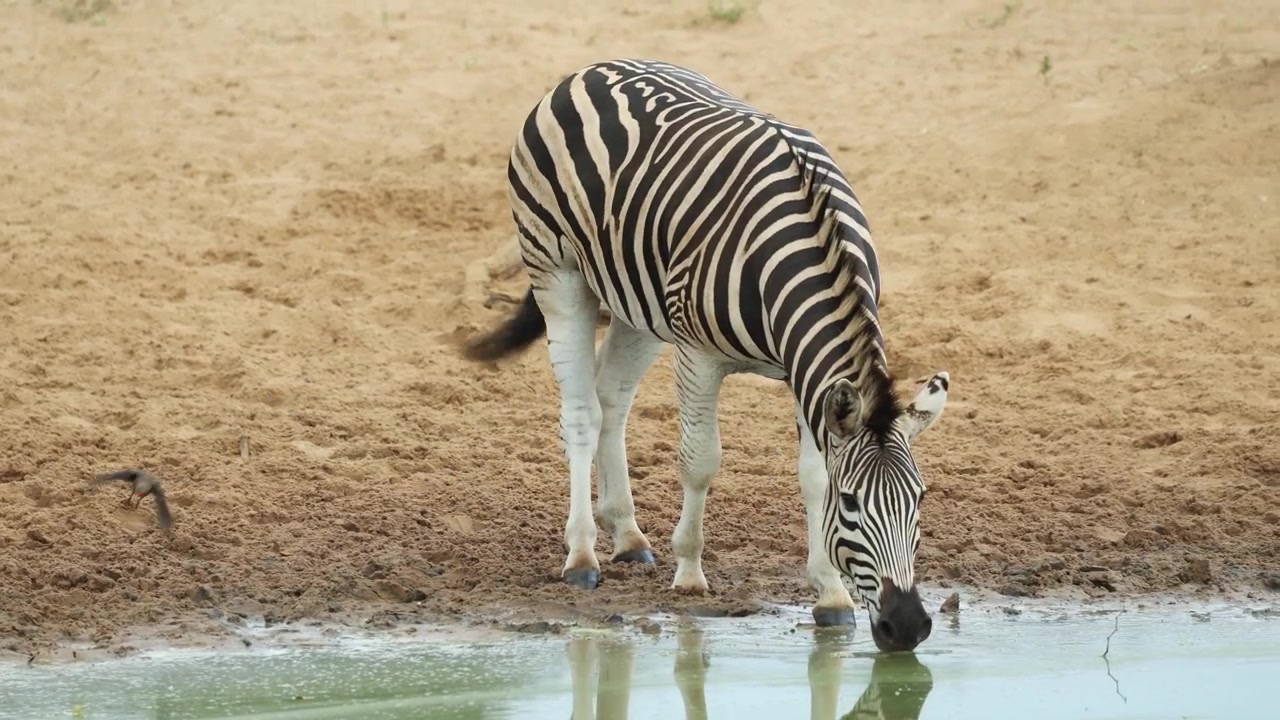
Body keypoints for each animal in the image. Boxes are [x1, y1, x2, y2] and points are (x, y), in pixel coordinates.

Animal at [462, 59, 950, 652]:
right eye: (853, 503)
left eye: (920, 499)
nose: (906, 626)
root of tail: (592, 68)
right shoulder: (697, 355)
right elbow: (700, 462)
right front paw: (690, 573)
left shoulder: (805, 370)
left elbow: (811, 473)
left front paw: (830, 594)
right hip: (557, 271)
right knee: (581, 412)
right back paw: (581, 554)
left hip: (639, 304)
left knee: (611, 399)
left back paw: (626, 534)